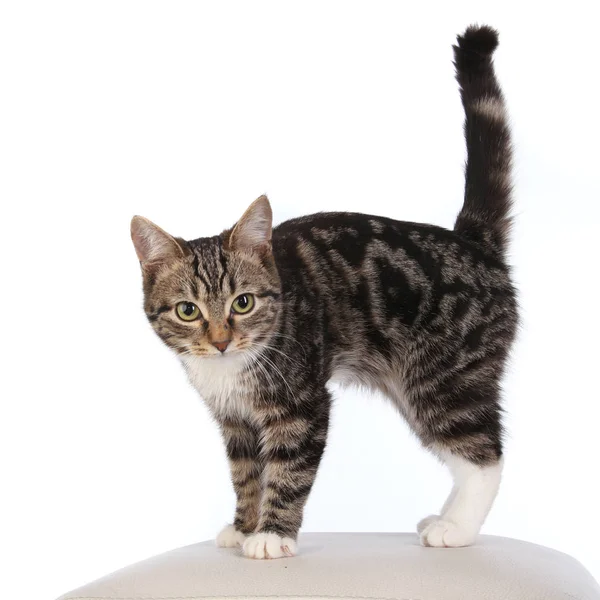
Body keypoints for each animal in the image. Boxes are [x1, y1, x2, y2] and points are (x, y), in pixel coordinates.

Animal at [130, 25, 516, 560]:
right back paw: (447, 516)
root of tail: (472, 244)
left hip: (443, 378)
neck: (230, 369)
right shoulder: (235, 420)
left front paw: (272, 535)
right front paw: (244, 526)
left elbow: (288, 469)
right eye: (188, 311)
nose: (222, 341)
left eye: (242, 302)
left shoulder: (303, 403)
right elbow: (246, 473)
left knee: (483, 452)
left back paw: (457, 527)